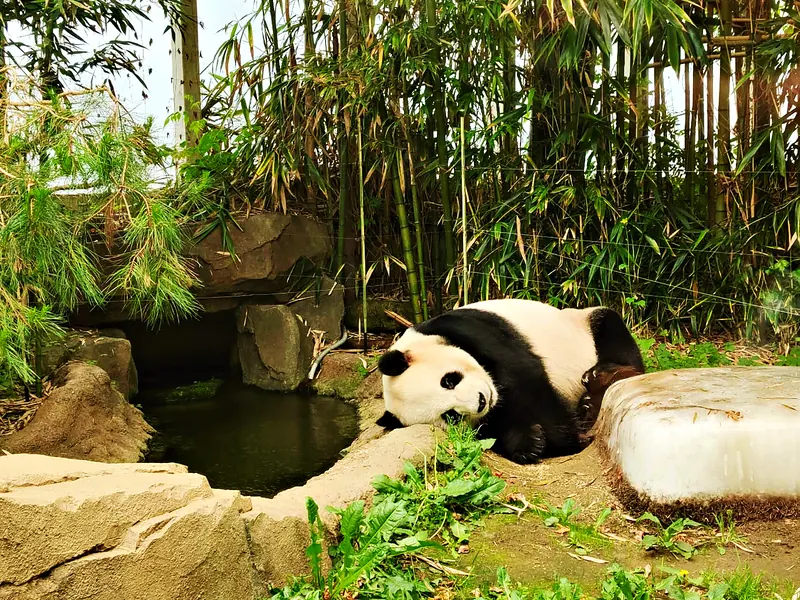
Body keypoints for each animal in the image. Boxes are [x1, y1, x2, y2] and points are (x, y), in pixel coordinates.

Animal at [375, 298, 644, 464]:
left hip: (581, 324)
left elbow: (527, 380)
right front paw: (529, 443)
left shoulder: (474, 331)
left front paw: (568, 440)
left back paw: (602, 378)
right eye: (450, 415)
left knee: (609, 326)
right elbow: (494, 427)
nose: (480, 401)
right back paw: (587, 407)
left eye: (449, 381)